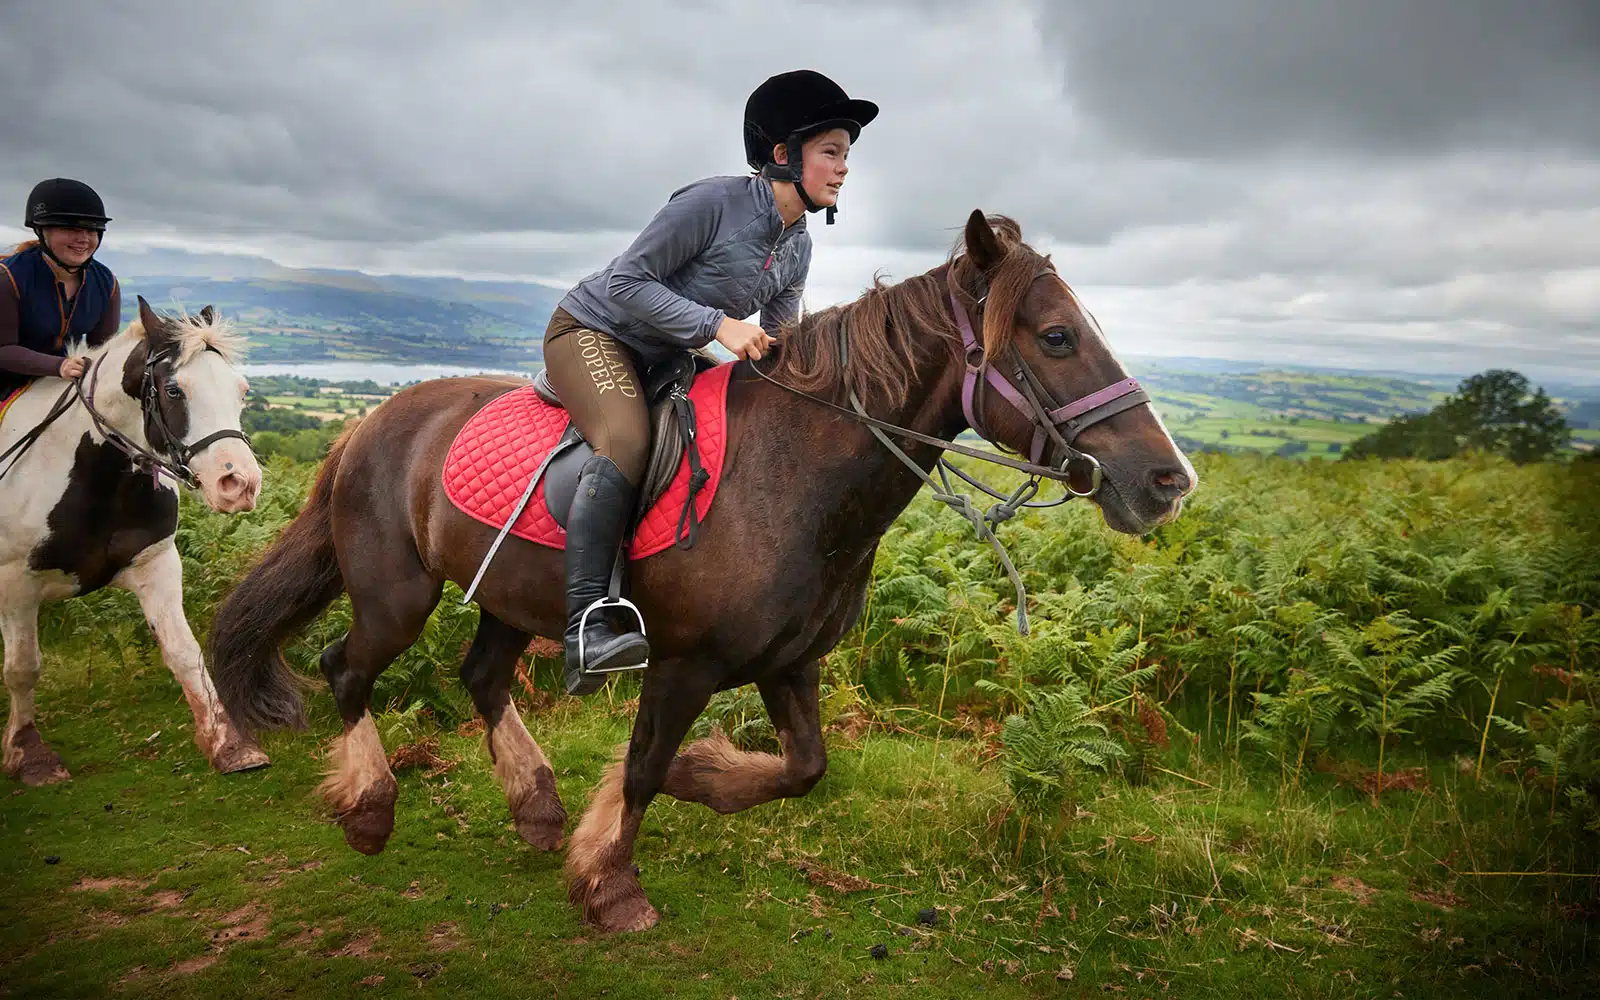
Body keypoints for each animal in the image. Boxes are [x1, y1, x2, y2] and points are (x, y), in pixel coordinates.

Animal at [0, 294, 265, 780]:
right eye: (175, 391)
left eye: (241, 390)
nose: (239, 484)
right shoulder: (16, 584)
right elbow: (23, 668)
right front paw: (29, 754)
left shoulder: (156, 564)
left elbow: (184, 651)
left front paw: (229, 743)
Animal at [206, 214, 1196, 934]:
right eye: (1058, 336)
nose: (1167, 481)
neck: (793, 478)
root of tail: (369, 423)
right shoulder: (683, 665)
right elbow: (644, 768)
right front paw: (611, 883)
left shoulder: (790, 665)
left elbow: (802, 768)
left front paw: (704, 775)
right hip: (396, 596)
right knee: (346, 671)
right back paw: (371, 810)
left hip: (509, 599)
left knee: (480, 676)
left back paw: (536, 808)